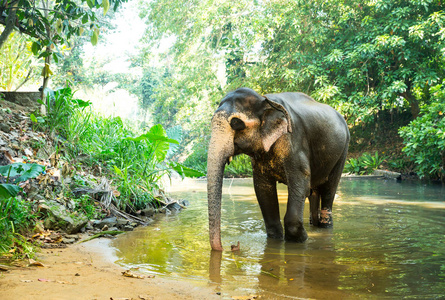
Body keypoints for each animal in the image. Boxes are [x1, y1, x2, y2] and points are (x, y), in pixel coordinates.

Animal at [206, 87, 348, 251]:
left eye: (236, 123)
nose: (232, 246)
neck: (263, 99)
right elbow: (263, 190)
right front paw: (277, 239)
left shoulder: (293, 141)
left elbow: (300, 184)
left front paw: (301, 240)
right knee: (314, 191)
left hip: (343, 151)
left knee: (329, 189)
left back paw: (325, 227)